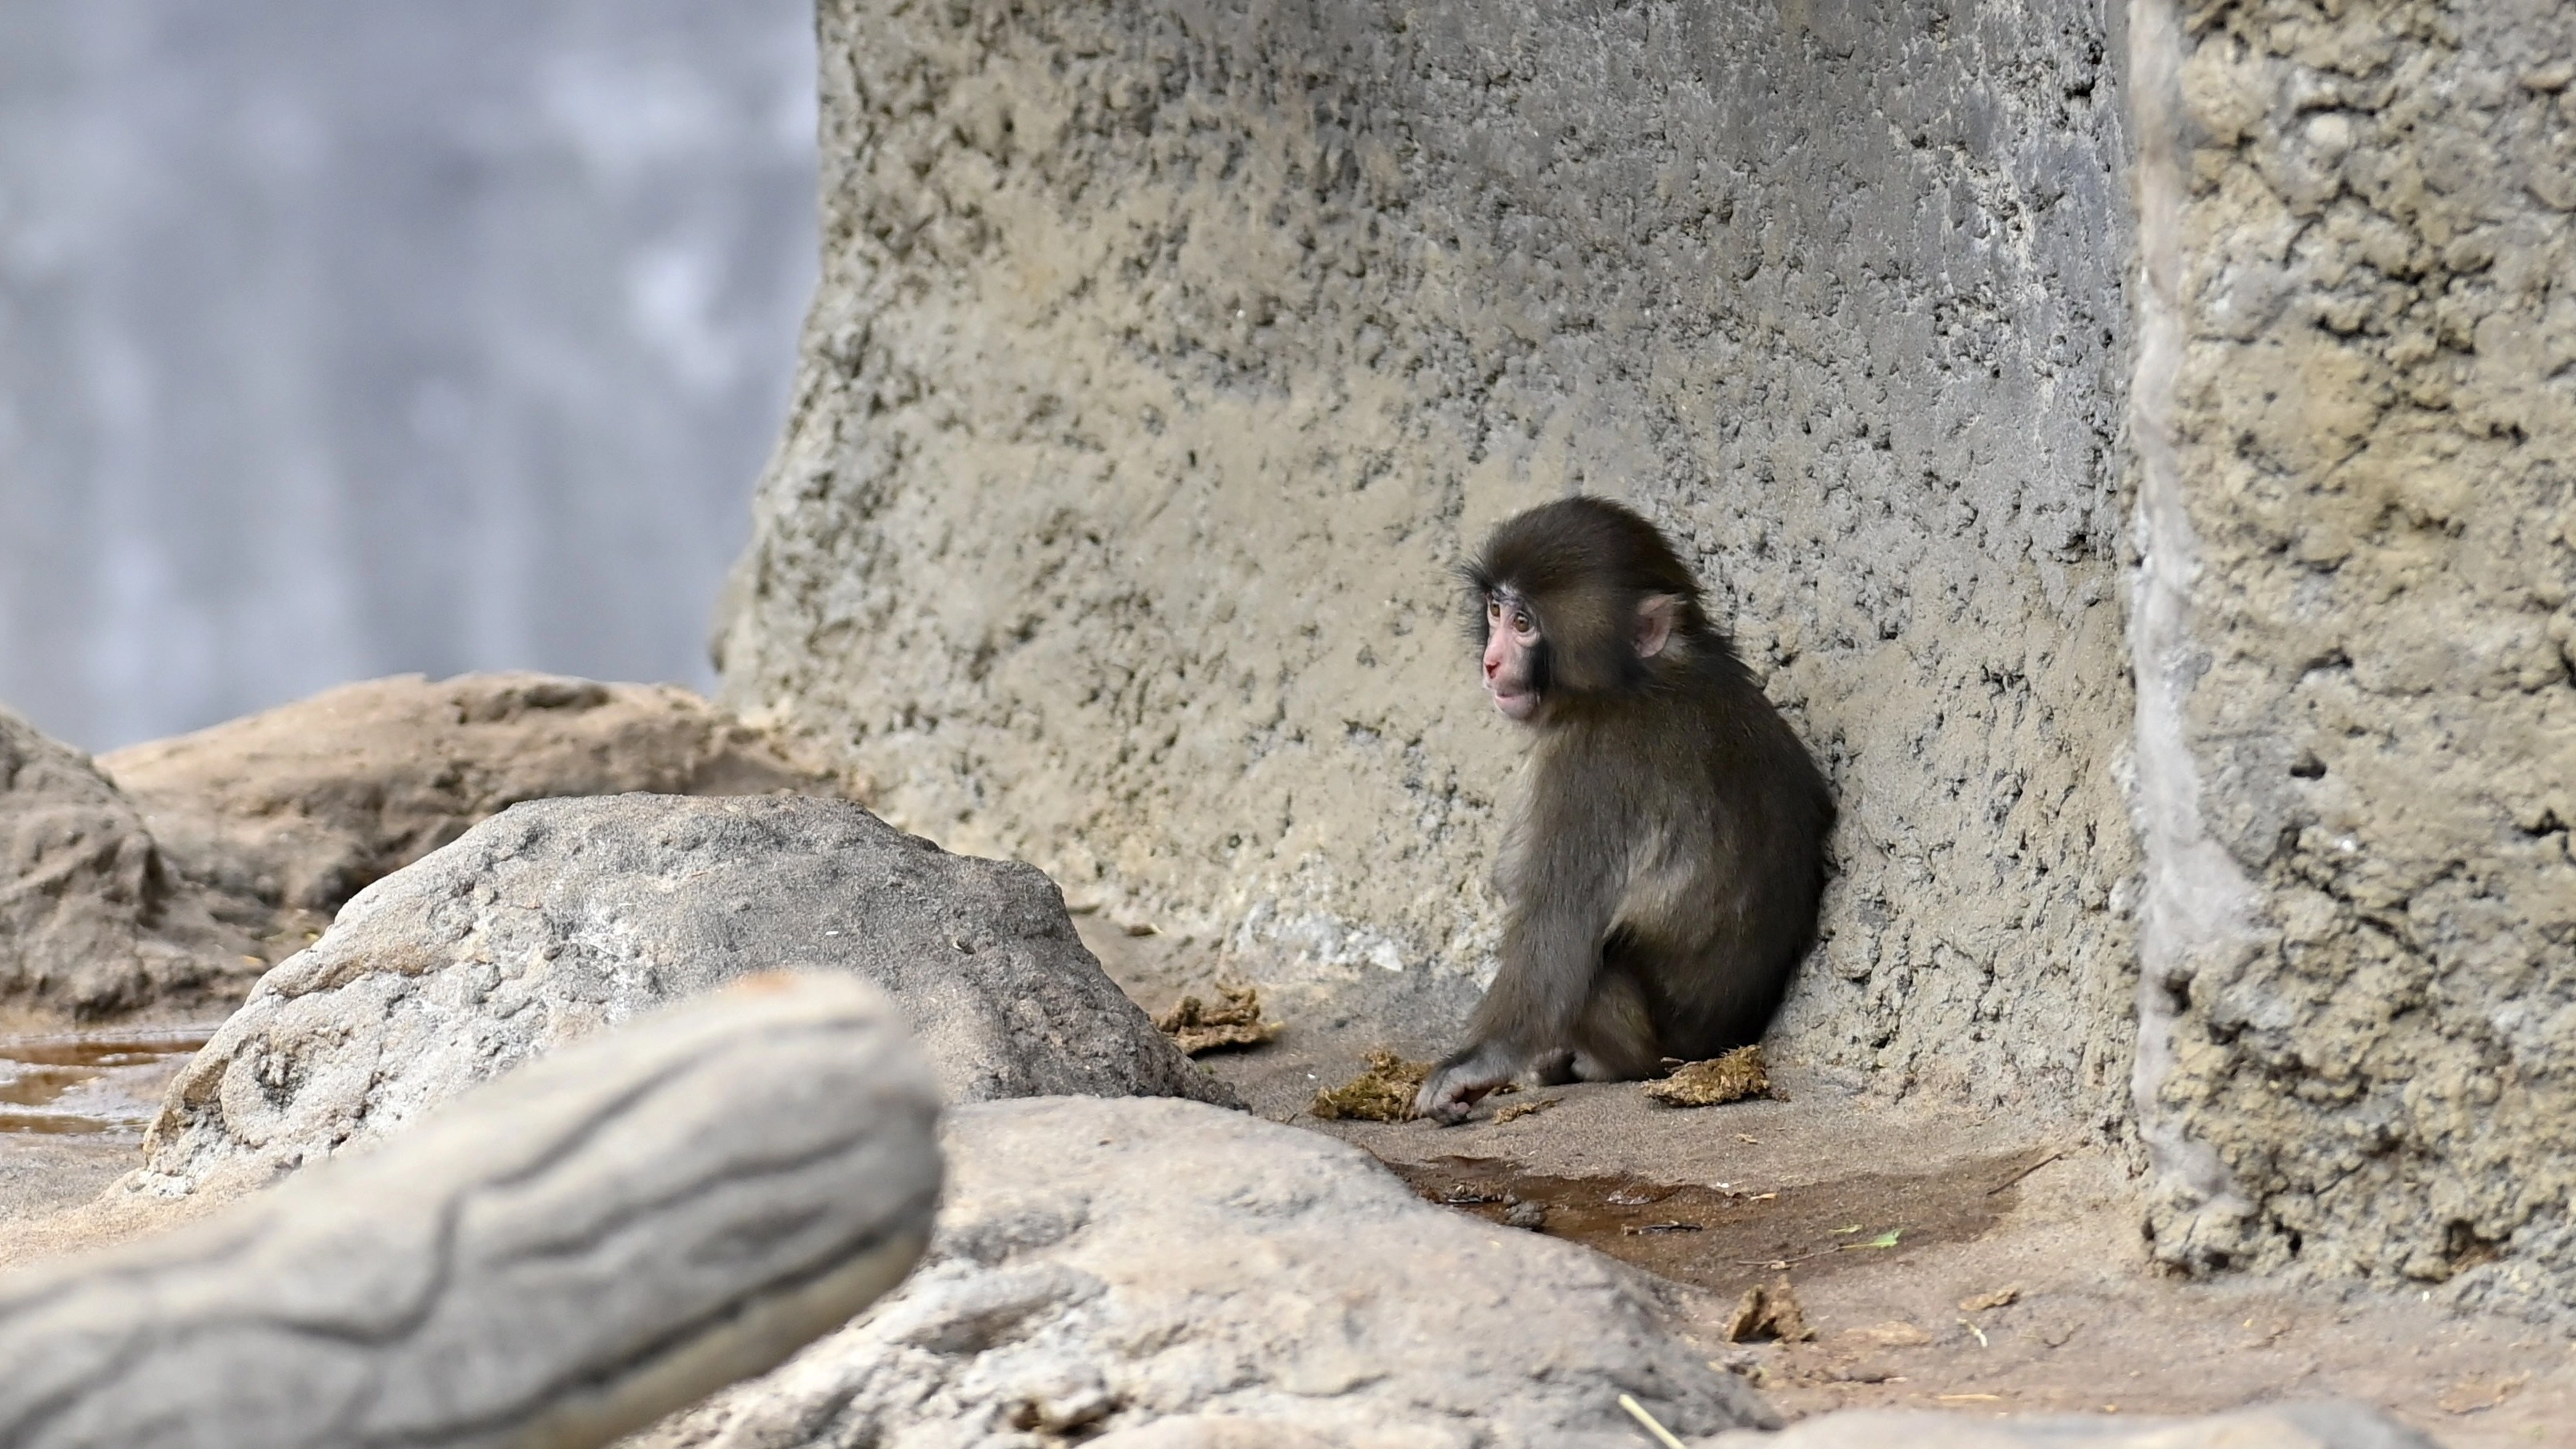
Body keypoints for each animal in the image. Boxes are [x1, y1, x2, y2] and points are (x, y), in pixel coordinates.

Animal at [1414, 496, 1835, 1125]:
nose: (1491, 662)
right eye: (1495, 610)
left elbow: (1555, 934)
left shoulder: (1587, 767)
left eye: (1524, 624)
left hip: (1647, 1044)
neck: (1639, 678)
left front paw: (1475, 1063)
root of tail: (1717, 1048)